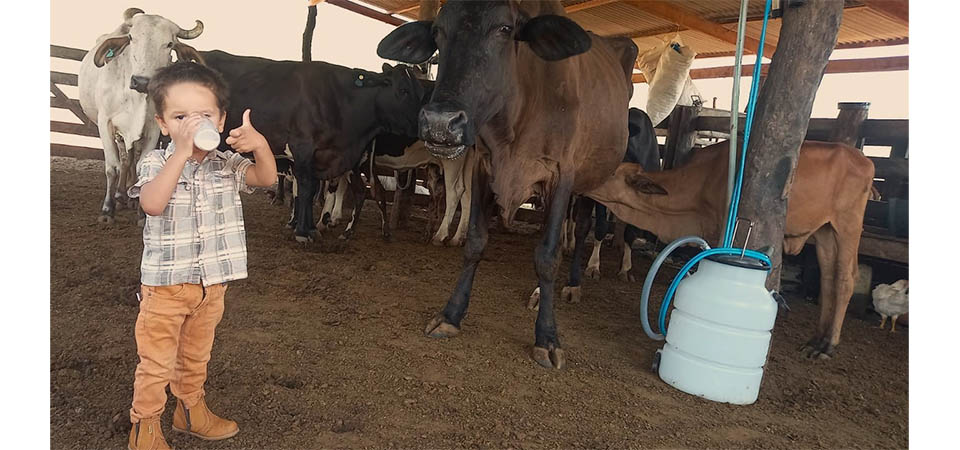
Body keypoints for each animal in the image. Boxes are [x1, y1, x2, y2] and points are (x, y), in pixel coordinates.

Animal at [78, 8, 204, 224]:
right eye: (131, 37)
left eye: (169, 44)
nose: (141, 82)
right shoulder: (105, 123)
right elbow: (112, 167)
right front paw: (107, 210)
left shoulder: (153, 128)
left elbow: (142, 166)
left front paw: (142, 213)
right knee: (124, 160)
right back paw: (120, 196)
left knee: (131, 158)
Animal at [198, 49, 426, 242]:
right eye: (403, 90)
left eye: (420, 91)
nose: (423, 124)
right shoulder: (302, 149)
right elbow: (307, 188)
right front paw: (303, 231)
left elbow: (310, 189)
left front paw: (309, 227)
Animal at [378, 0, 638, 368]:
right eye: (438, 31)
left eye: (504, 29)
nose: (440, 122)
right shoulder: (484, 165)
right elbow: (475, 242)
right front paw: (451, 315)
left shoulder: (561, 175)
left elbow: (547, 255)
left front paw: (547, 337)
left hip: (591, 177)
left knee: (582, 229)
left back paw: (573, 283)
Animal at [585, 140, 875, 359]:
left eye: (613, 173)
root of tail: (863, 159)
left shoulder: (724, 225)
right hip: (825, 231)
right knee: (828, 279)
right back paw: (816, 340)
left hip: (847, 224)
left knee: (845, 279)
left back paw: (827, 346)